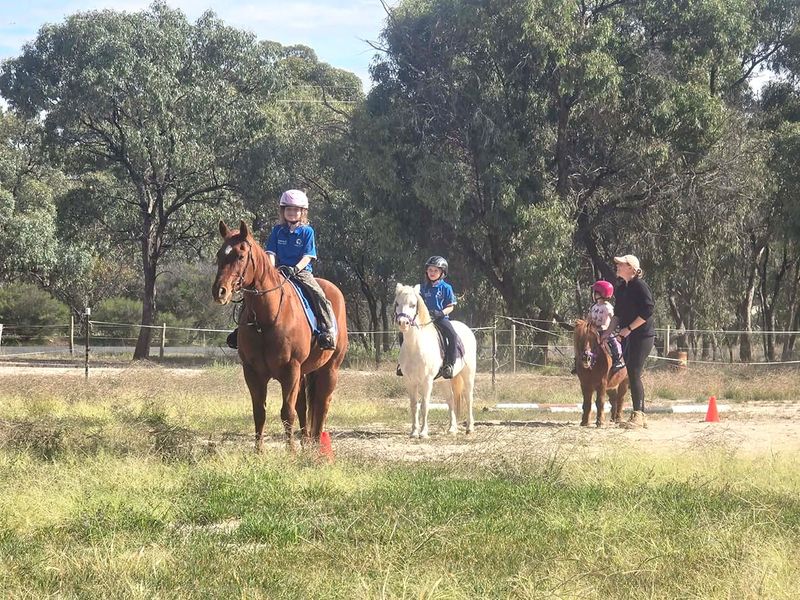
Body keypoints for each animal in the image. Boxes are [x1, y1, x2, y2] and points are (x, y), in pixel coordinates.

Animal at [212, 220, 348, 452]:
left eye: (240, 256)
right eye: (220, 254)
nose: (219, 291)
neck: (265, 320)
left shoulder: (290, 370)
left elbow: (287, 413)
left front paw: (290, 452)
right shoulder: (252, 372)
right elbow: (260, 412)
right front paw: (258, 452)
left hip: (329, 369)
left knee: (322, 405)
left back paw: (315, 448)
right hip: (304, 373)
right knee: (304, 406)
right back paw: (306, 444)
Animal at [394, 283, 477, 438]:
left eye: (413, 305)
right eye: (397, 303)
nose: (403, 323)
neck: (415, 346)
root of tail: (466, 328)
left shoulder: (427, 381)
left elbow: (425, 405)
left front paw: (423, 433)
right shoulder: (409, 380)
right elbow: (414, 405)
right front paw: (414, 432)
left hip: (468, 374)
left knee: (468, 398)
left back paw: (469, 428)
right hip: (444, 380)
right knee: (451, 400)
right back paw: (452, 428)